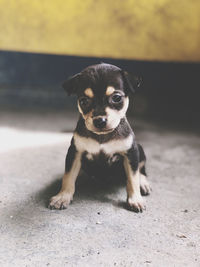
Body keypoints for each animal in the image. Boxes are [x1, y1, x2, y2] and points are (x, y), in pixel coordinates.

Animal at [49, 63, 151, 214]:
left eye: (117, 98)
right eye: (84, 101)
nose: (100, 121)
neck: (102, 136)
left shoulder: (130, 153)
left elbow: (132, 178)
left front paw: (135, 200)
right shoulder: (75, 153)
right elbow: (68, 176)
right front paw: (62, 196)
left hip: (140, 150)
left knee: (141, 170)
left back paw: (143, 183)